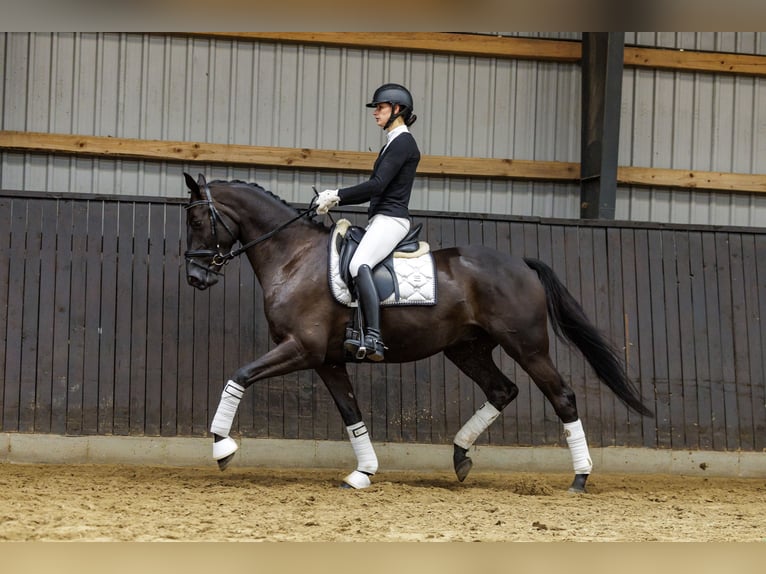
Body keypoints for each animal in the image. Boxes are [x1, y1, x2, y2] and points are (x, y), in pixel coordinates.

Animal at [183, 173, 652, 492]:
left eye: (197, 221)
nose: (194, 277)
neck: (294, 257)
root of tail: (520, 263)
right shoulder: (329, 360)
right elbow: (351, 414)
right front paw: (363, 472)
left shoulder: (302, 349)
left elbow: (239, 376)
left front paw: (222, 448)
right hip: (466, 349)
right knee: (502, 390)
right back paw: (461, 456)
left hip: (527, 346)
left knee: (562, 397)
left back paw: (580, 477)